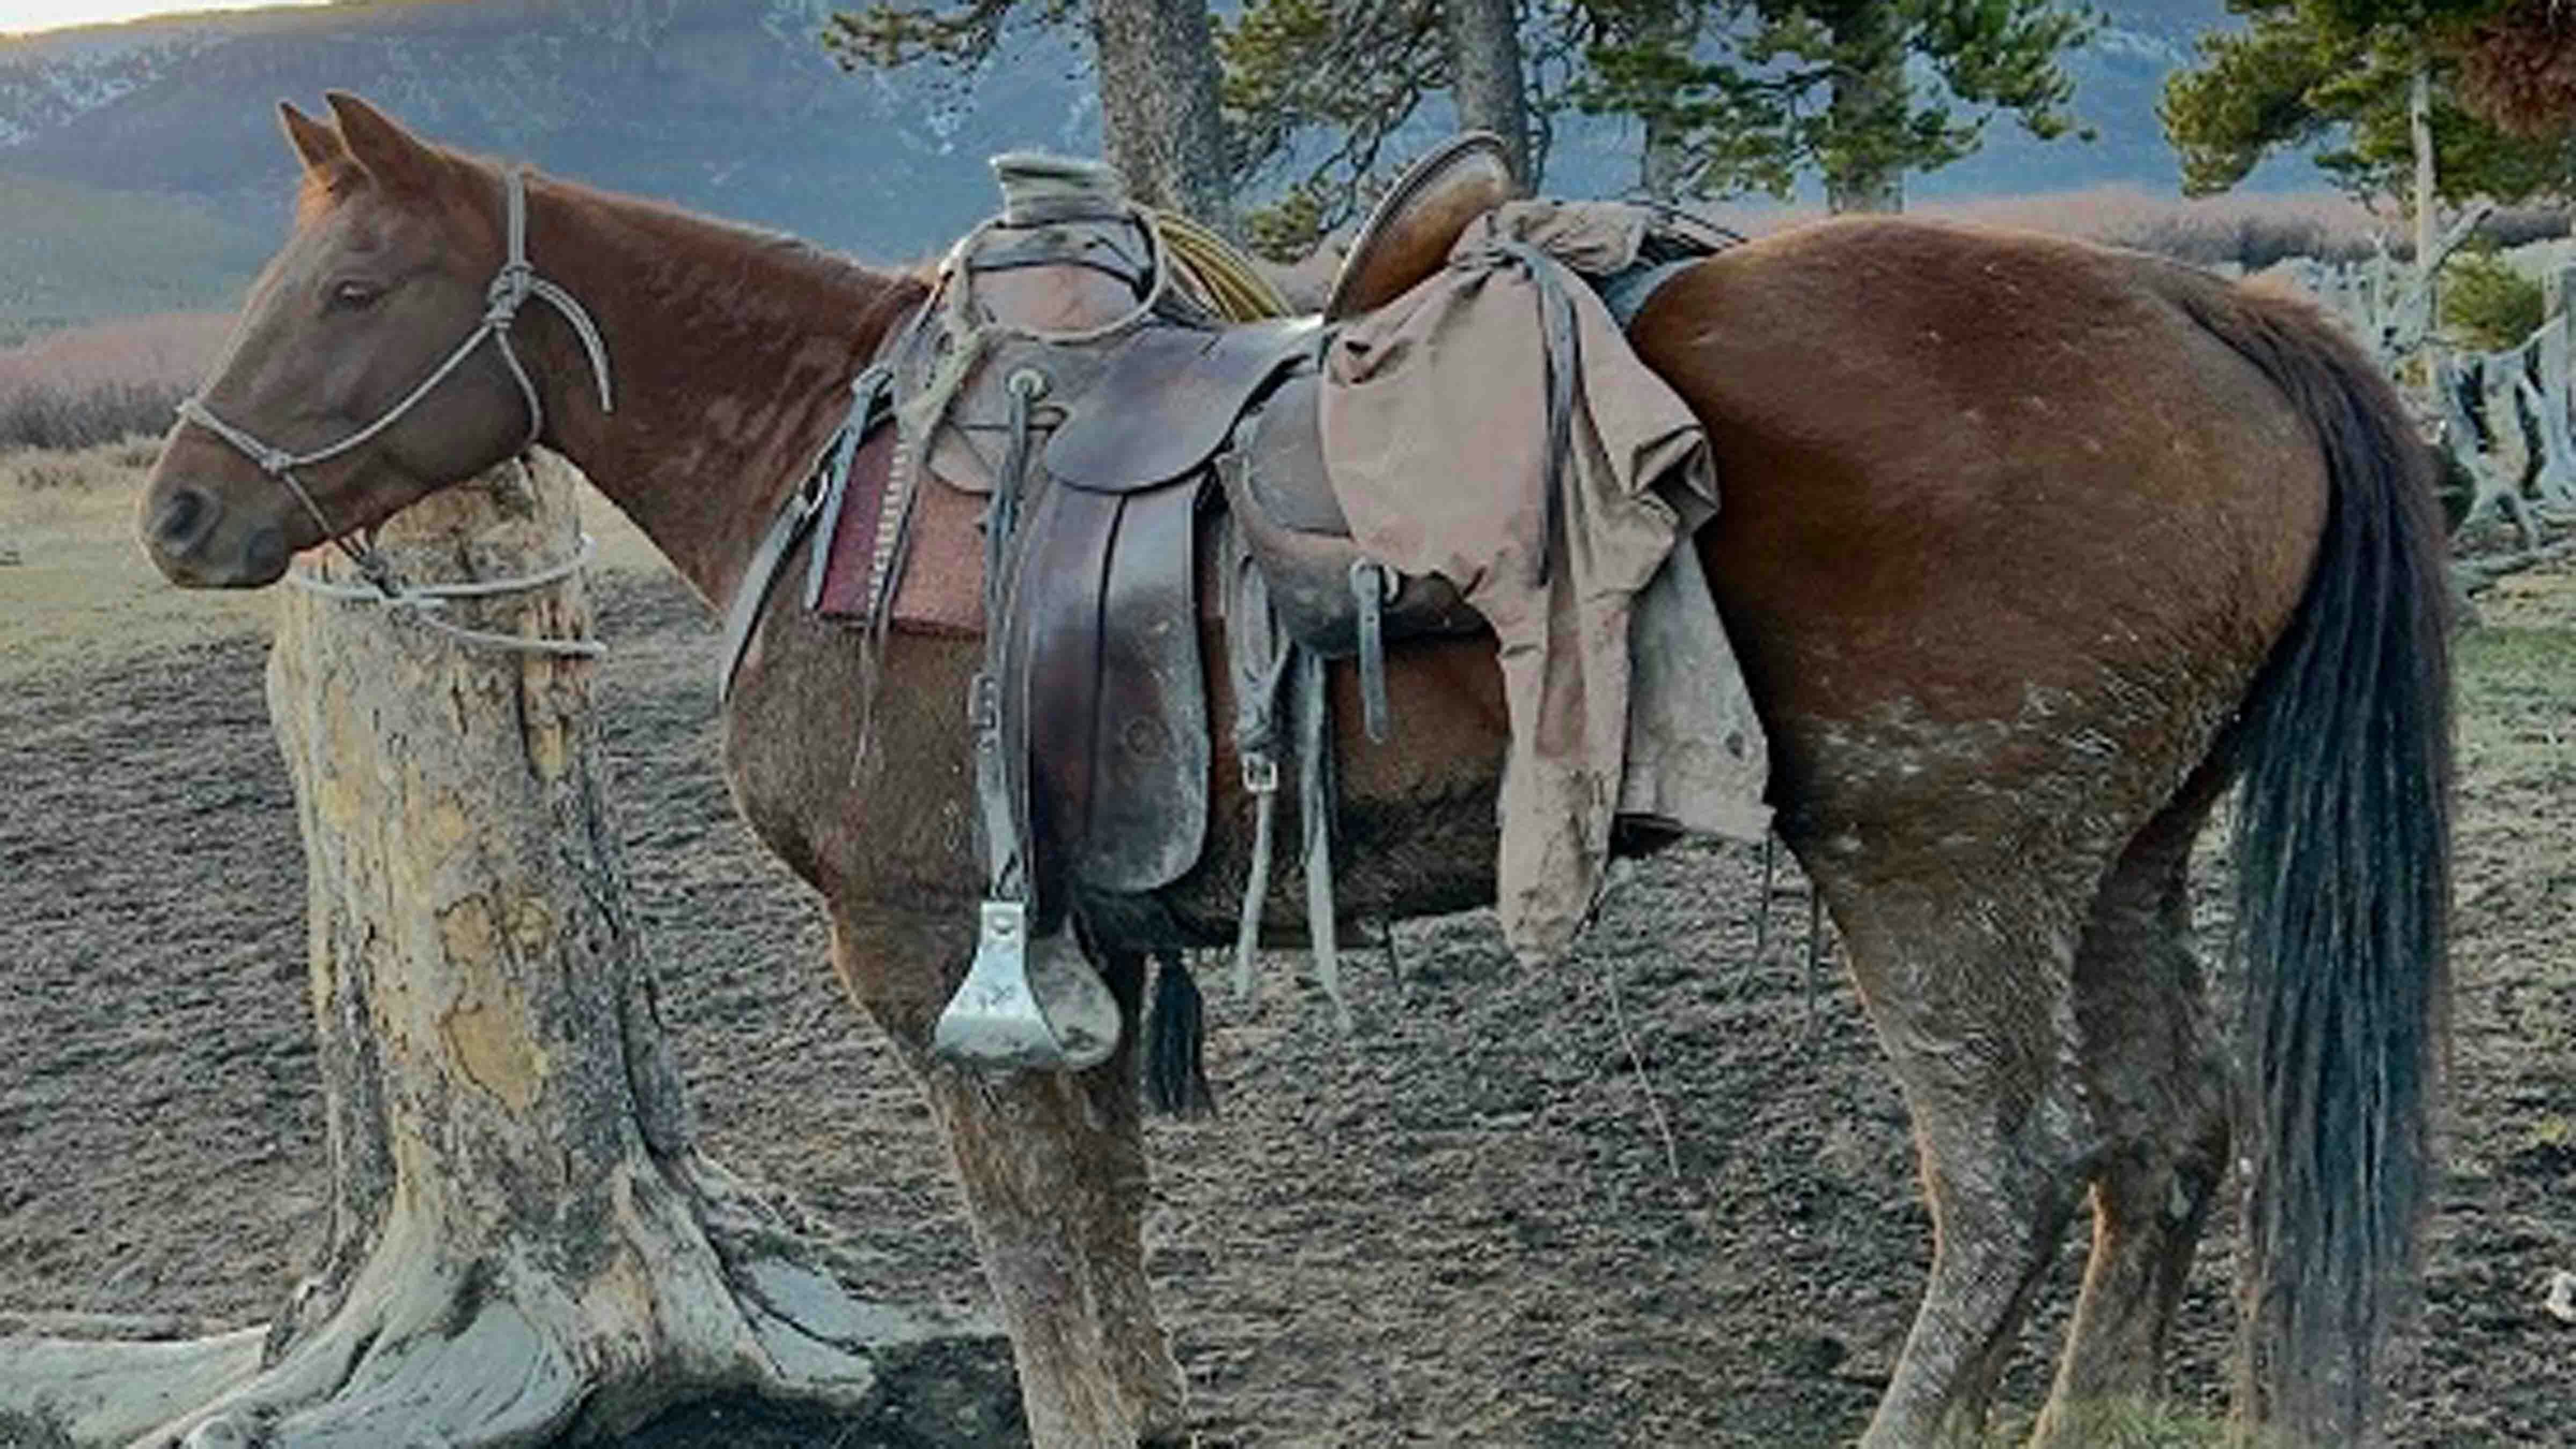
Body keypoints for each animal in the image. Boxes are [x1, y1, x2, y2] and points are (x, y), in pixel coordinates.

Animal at [140, 93, 2451, 1448]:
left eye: (353, 285)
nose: (175, 511)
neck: (832, 458)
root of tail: (2207, 310)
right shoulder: (1063, 961)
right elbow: (1105, 1248)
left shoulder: (935, 967)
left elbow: (1046, 1275)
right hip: (2119, 853)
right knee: (2169, 1145)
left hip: (1941, 866)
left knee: (2016, 1182)